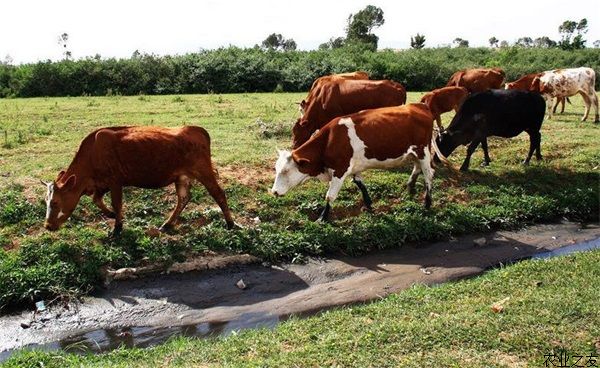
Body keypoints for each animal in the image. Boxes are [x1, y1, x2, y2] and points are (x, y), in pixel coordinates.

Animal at [41, 125, 234, 234]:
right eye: (46, 201)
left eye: (55, 202)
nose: (47, 226)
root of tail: (197, 129)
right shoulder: (101, 184)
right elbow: (97, 200)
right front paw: (111, 215)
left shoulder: (115, 181)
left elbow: (116, 203)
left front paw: (117, 228)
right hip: (182, 177)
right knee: (184, 198)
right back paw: (167, 224)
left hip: (203, 171)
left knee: (218, 193)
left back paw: (230, 223)